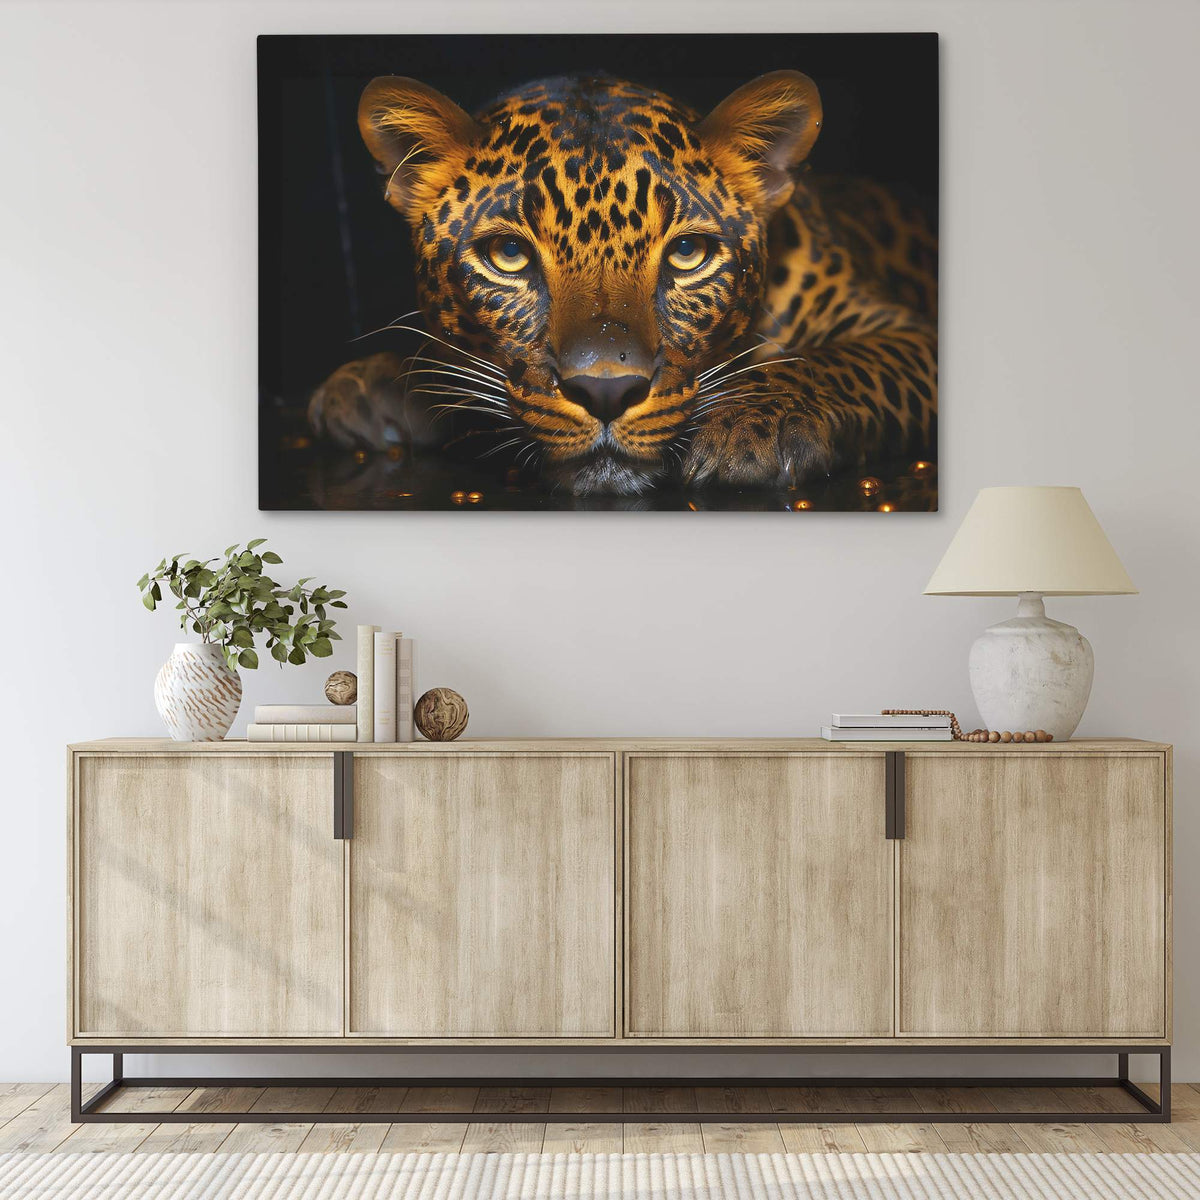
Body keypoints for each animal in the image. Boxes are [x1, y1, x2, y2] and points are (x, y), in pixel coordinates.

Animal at [307, 69, 937, 497]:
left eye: (687, 253)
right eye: (509, 255)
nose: (606, 392)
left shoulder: (909, 331)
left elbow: (844, 361)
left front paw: (755, 422)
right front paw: (372, 384)